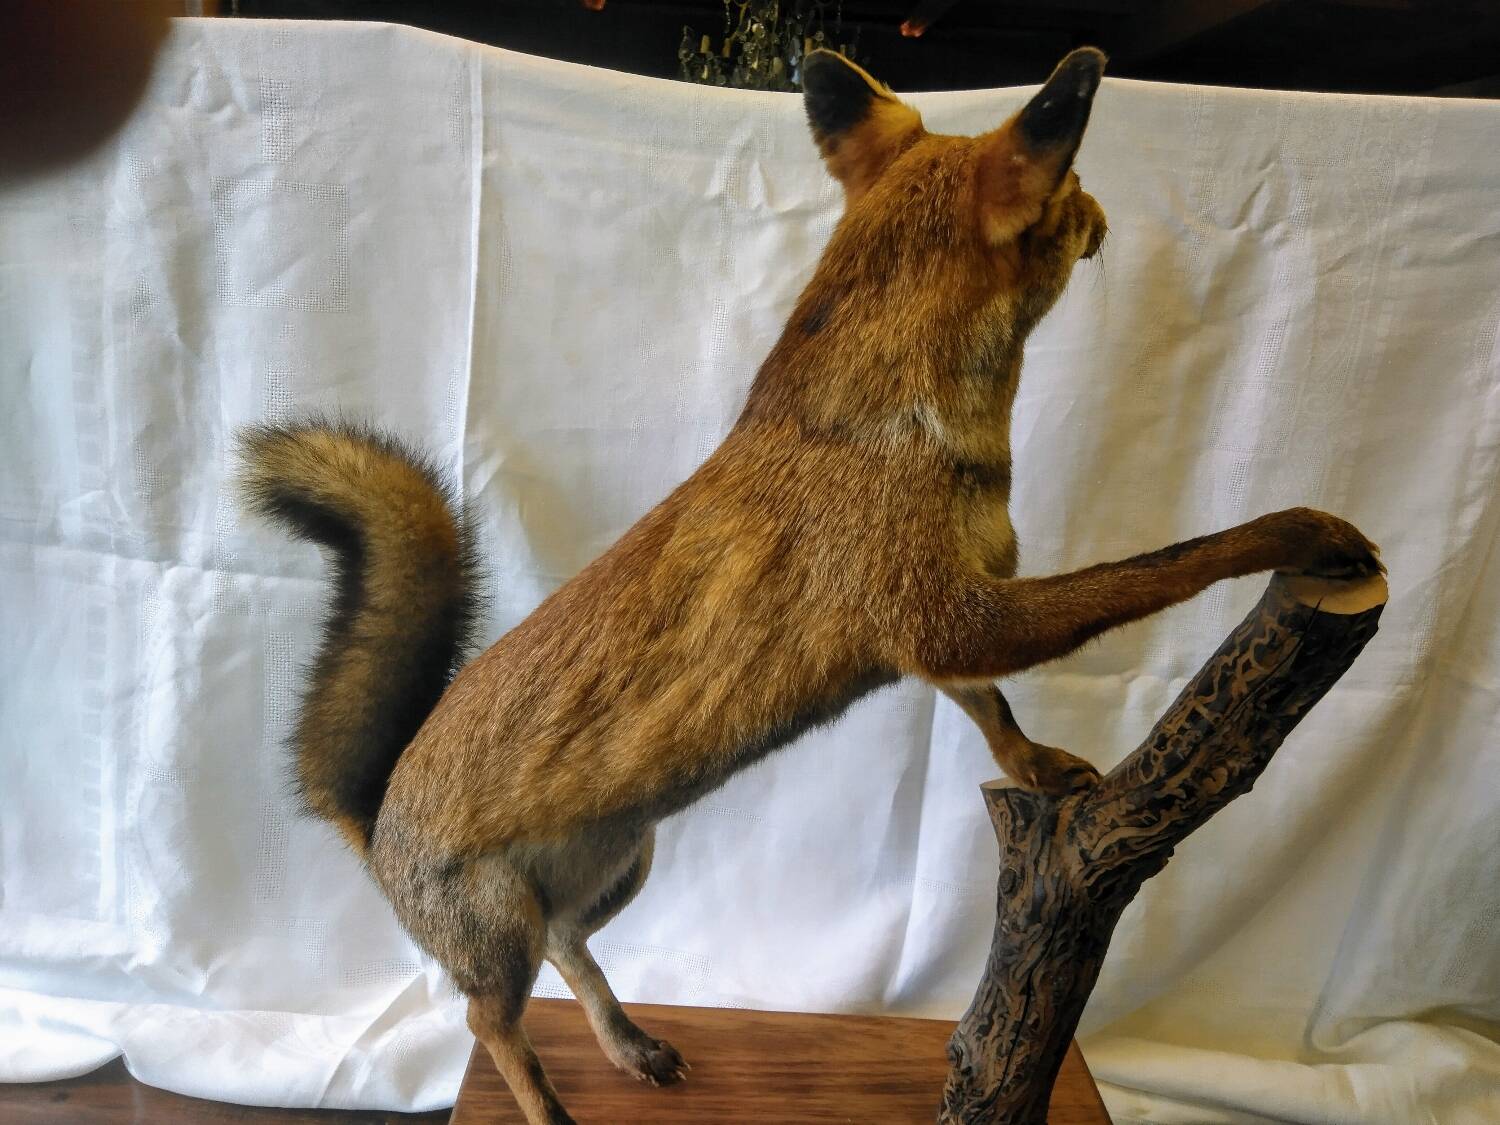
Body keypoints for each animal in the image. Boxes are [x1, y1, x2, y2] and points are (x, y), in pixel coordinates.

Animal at [239, 47, 1381, 1125]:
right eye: (1070, 188)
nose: (1104, 219)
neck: (896, 428)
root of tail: (376, 812)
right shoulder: (958, 616)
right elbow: (1175, 561)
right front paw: (1304, 531)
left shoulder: (935, 631)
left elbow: (993, 713)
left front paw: (1038, 766)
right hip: (504, 929)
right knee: (486, 1021)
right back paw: (552, 1105)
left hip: (622, 868)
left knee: (568, 953)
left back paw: (629, 1046)